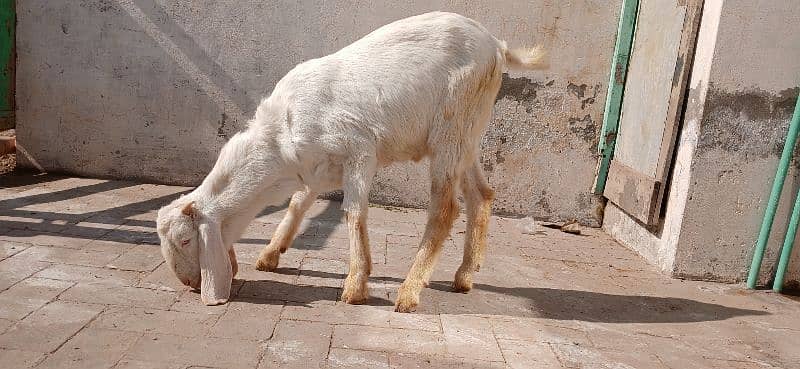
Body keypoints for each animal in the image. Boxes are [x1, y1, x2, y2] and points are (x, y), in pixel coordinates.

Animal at [155, 11, 544, 310]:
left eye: (185, 240)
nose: (189, 283)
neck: (279, 136)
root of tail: (497, 44)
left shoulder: (359, 151)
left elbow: (353, 214)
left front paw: (356, 286)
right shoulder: (315, 170)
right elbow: (298, 204)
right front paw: (270, 254)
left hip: (451, 128)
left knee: (446, 209)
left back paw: (409, 291)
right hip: (467, 134)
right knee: (482, 194)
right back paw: (464, 276)